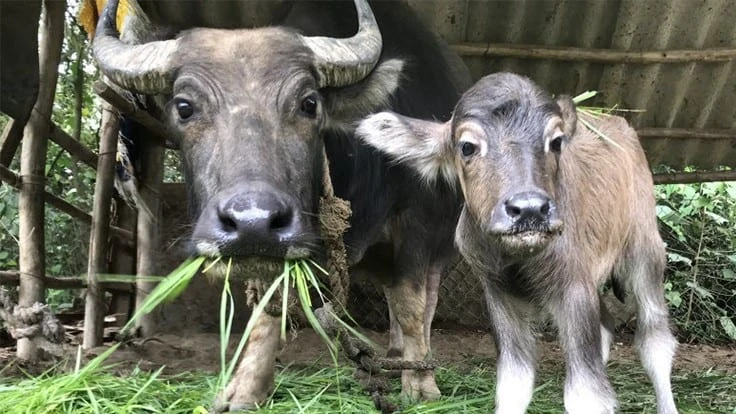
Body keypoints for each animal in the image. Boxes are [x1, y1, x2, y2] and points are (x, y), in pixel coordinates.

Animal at [92, 0, 469, 410]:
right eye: (184, 107)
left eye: (309, 104)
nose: (252, 221)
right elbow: (267, 310)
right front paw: (245, 388)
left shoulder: (417, 223)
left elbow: (411, 305)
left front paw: (421, 386)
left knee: (423, 300)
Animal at [357, 72, 678, 414]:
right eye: (467, 146)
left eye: (556, 141)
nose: (530, 210)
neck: (519, 258)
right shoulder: (500, 294)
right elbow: (514, 384)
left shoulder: (574, 290)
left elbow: (586, 394)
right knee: (606, 328)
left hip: (644, 250)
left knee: (654, 340)